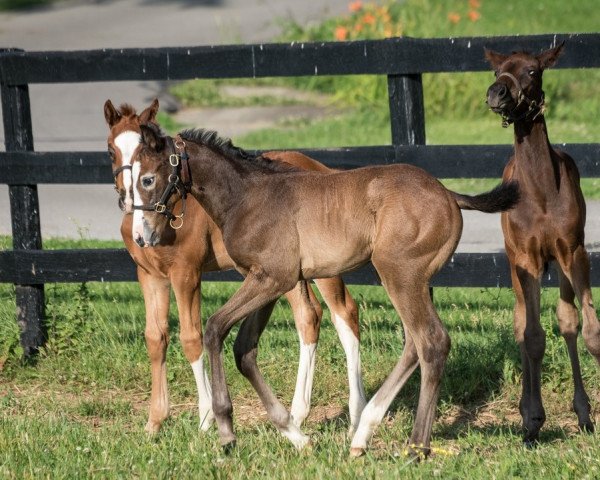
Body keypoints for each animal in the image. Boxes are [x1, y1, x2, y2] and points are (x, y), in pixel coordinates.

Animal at [103, 101, 366, 438]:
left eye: (143, 156)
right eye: (111, 149)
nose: (127, 200)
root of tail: (321, 167)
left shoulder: (186, 273)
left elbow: (191, 337)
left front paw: (205, 419)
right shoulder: (149, 276)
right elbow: (155, 337)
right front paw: (154, 422)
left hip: (321, 267)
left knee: (343, 313)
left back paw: (351, 415)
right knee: (310, 315)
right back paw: (299, 414)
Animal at [131, 124, 520, 458]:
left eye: (147, 178)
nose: (143, 235)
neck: (246, 196)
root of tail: (448, 194)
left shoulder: (272, 278)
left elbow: (214, 328)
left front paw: (226, 430)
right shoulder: (267, 280)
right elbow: (244, 349)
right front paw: (294, 433)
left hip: (399, 273)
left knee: (431, 341)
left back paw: (414, 448)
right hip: (413, 280)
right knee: (415, 343)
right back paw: (362, 435)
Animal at [486, 43, 600, 444]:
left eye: (533, 71)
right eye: (497, 71)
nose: (497, 93)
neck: (541, 192)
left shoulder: (574, 251)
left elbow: (589, 329)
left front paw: (585, 415)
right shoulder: (526, 258)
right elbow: (532, 336)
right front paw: (534, 419)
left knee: (567, 321)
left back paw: (583, 414)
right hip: (513, 262)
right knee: (522, 325)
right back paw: (527, 415)